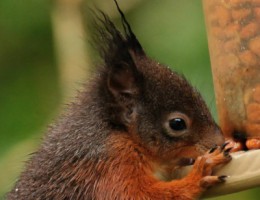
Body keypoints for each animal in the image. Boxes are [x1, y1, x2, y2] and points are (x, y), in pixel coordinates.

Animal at [7, 0, 232, 199]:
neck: (119, 130)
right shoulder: (109, 164)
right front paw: (200, 174)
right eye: (177, 123)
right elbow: (135, 194)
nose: (220, 142)